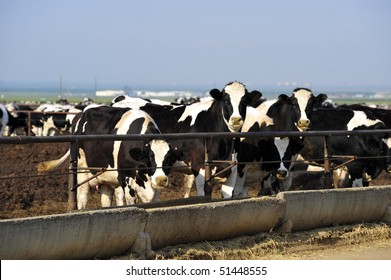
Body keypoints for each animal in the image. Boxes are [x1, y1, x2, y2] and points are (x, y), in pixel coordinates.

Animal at [38, 106, 182, 209]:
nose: (161, 180)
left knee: (105, 201)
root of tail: (81, 115)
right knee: (82, 198)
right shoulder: (126, 179)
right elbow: (131, 202)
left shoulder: (152, 189)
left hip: (106, 178)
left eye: (169, 159)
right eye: (150, 157)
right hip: (81, 170)